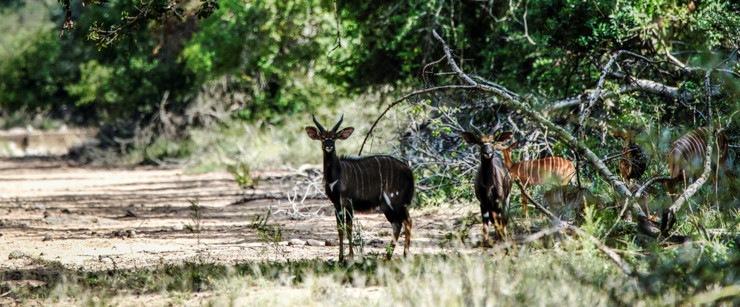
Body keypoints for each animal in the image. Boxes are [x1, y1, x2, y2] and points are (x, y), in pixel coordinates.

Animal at [304, 115, 414, 260]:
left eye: (334, 137)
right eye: (322, 137)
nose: (328, 146)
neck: (336, 176)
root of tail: (409, 171)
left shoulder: (348, 201)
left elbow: (349, 227)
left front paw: (350, 256)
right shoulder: (336, 203)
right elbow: (340, 228)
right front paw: (340, 258)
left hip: (396, 200)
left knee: (407, 221)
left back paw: (405, 256)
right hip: (385, 205)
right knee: (397, 224)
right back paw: (387, 258)